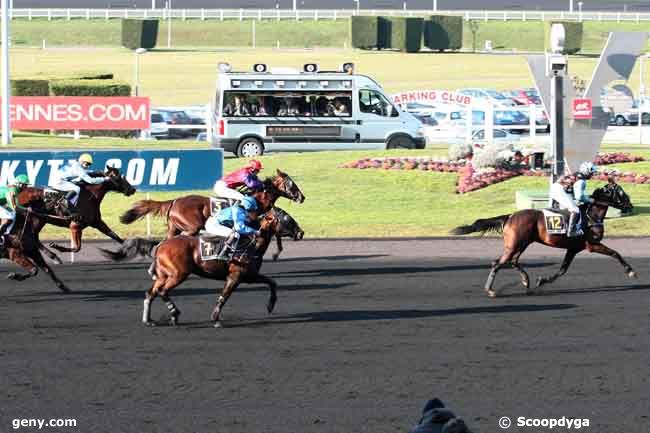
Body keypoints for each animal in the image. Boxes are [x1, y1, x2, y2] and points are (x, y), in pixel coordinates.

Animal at [118, 167, 304, 258]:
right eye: (291, 184)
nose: (302, 197)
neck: (257, 198)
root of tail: (174, 201)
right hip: (191, 227)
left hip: (174, 228)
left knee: (163, 243)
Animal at [136, 208, 302, 326]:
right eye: (287, 218)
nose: (301, 233)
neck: (251, 245)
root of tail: (161, 245)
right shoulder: (234, 276)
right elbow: (224, 296)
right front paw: (215, 319)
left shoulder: (249, 276)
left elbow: (272, 282)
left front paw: (270, 306)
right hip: (178, 274)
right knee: (163, 291)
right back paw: (174, 314)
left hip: (163, 275)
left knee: (151, 293)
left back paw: (148, 320)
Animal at [450, 180, 632, 296]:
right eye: (621, 192)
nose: (629, 205)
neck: (590, 216)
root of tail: (510, 216)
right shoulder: (592, 244)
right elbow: (615, 253)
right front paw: (630, 271)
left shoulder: (573, 248)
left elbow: (562, 270)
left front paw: (542, 281)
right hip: (515, 244)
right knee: (498, 262)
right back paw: (490, 290)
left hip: (522, 243)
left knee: (513, 261)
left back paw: (526, 281)